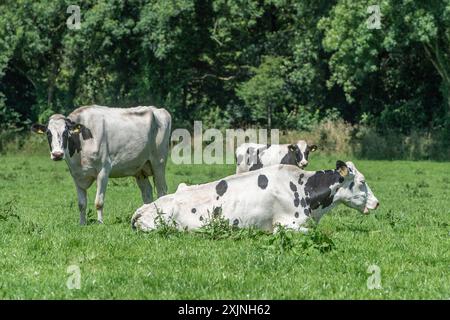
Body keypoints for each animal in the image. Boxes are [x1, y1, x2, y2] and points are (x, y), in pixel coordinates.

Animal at [31, 105, 172, 225]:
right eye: (48, 133)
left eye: (66, 133)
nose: (57, 154)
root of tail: (158, 110)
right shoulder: (76, 174)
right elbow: (81, 203)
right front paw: (82, 223)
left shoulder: (104, 170)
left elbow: (99, 202)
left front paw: (100, 223)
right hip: (140, 169)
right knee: (147, 192)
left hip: (159, 163)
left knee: (162, 191)